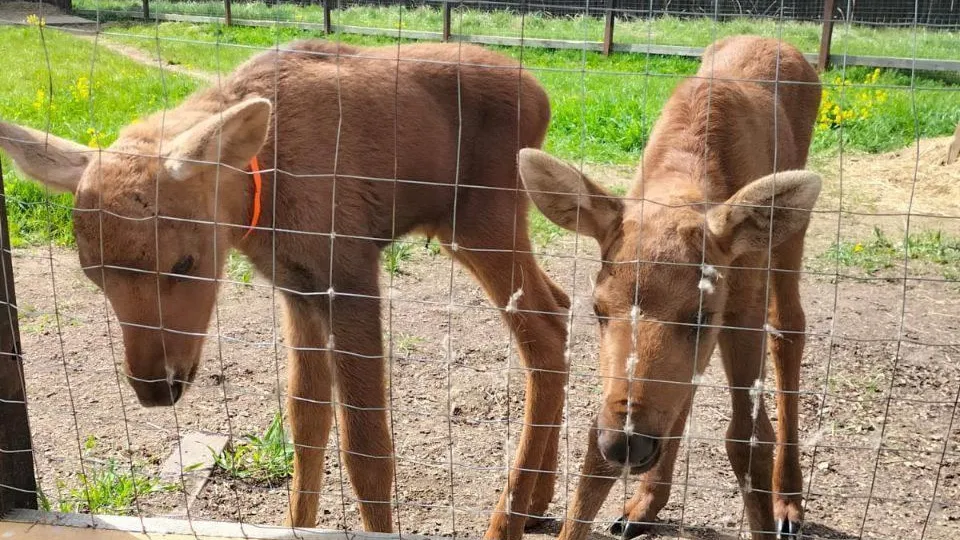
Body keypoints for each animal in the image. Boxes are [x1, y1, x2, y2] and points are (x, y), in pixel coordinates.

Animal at [0, 41, 568, 540]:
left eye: (185, 261)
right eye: (91, 274)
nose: (156, 388)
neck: (261, 200)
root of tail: (544, 96)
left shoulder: (351, 276)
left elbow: (366, 450)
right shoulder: (298, 288)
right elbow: (306, 421)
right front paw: (298, 521)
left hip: (482, 218)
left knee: (541, 336)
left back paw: (506, 520)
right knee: (561, 308)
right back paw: (538, 501)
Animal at [520, 35, 820, 536]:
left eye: (700, 315)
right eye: (598, 310)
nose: (627, 443)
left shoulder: (740, 307)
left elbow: (748, 441)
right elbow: (597, 448)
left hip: (788, 241)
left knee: (789, 328)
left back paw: (789, 504)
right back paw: (644, 504)